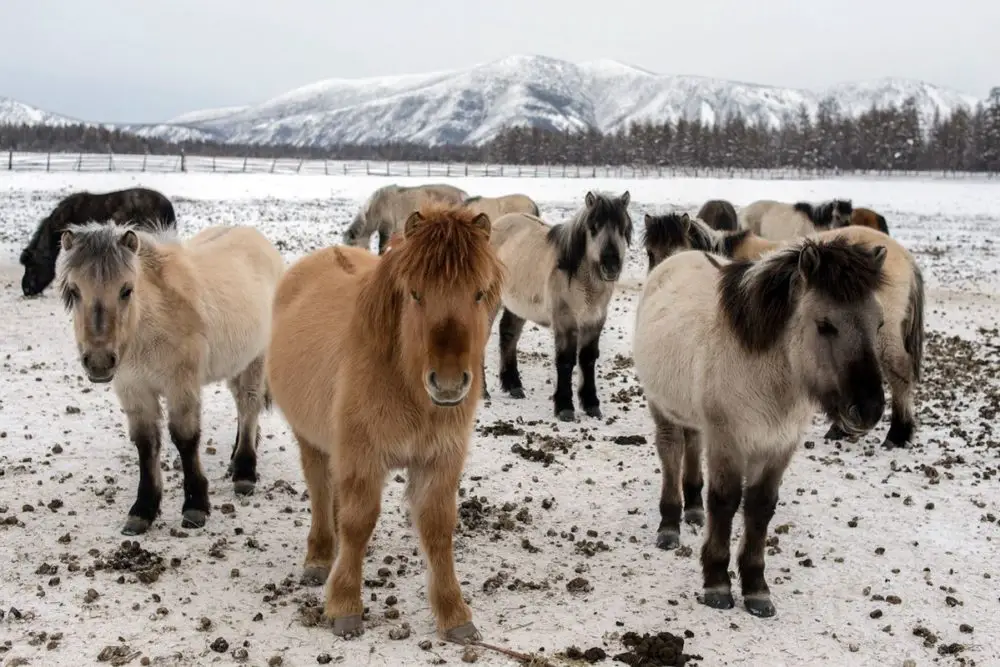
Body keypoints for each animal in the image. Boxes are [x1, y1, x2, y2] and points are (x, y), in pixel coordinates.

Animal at [56, 224, 286, 536]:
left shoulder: (181, 386)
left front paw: (195, 506)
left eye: (126, 290)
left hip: (256, 358)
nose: (99, 361)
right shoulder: (133, 389)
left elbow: (185, 438)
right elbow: (146, 442)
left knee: (248, 403)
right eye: (74, 290)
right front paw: (143, 510)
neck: (150, 325)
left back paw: (244, 472)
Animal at [266, 202, 504, 640]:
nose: (448, 383)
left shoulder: (440, 459)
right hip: (311, 439)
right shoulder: (363, 456)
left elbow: (438, 529)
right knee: (321, 489)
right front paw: (345, 605)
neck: (405, 384)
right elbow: (358, 521)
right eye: (415, 293)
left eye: (479, 293)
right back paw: (321, 557)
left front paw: (454, 615)